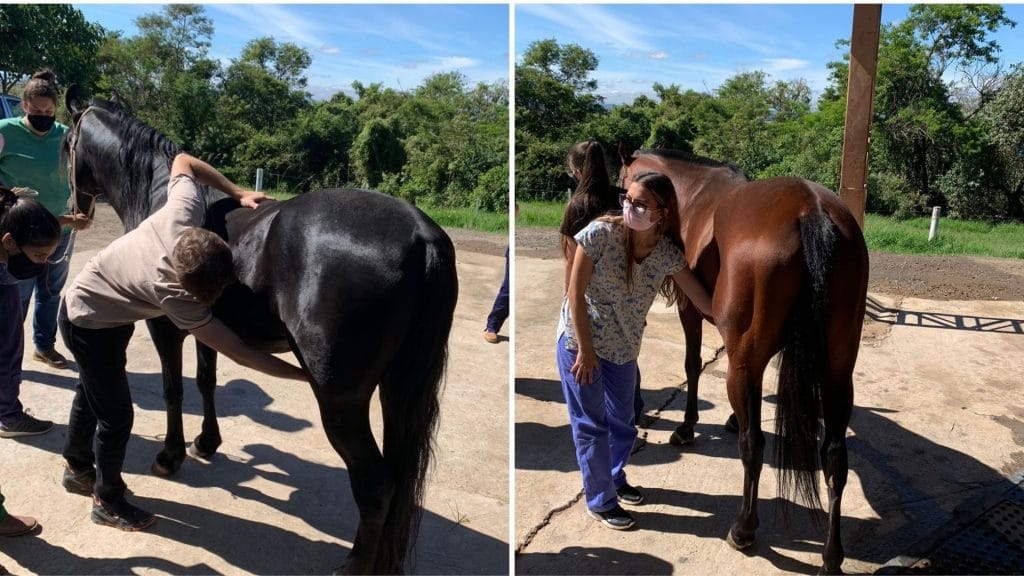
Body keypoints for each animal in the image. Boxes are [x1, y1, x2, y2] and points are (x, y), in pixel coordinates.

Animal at [62, 92, 459, 574]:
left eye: (66, 144)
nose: (77, 211)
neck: (158, 192)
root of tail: (421, 235)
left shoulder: (166, 326)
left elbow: (174, 389)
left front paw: (171, 456)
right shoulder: (207, 326)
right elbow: (206, 381)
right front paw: (207, 442)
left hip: (342, 404)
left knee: (377, 485)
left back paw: (353, 565)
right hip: (396, 389)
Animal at [619, 146, 868, 574]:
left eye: (622, 185)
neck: (693, 194)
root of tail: (810, 209)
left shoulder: (692, 313)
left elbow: (692, 365)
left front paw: (687, 426)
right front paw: (734, 418)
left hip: (747, 362)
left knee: (754, 446)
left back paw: (744, 527)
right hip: (838, 372)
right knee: (835, 457)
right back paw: (831, 557)